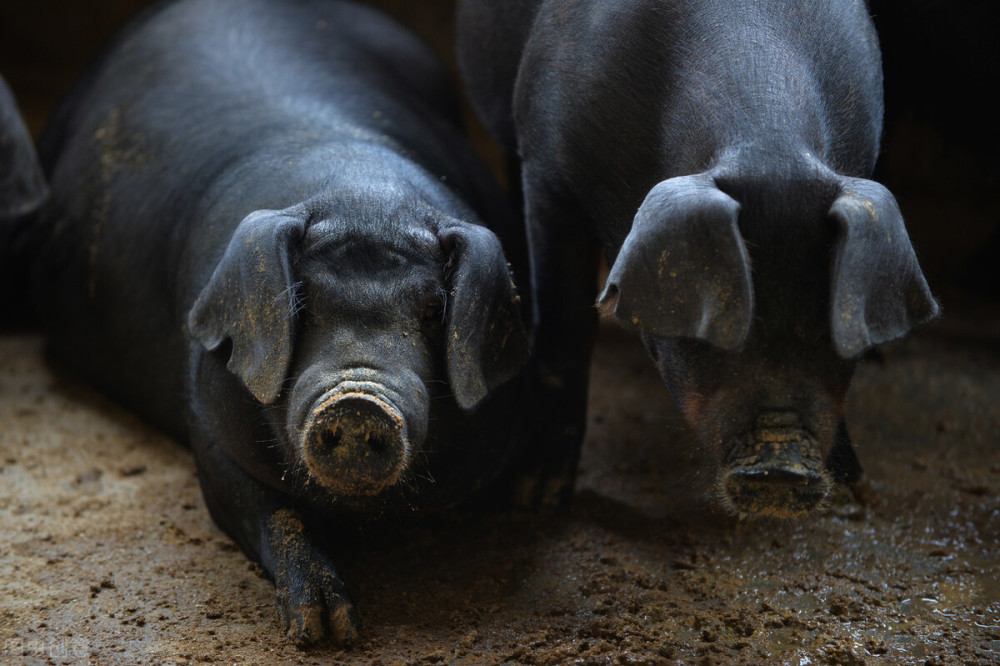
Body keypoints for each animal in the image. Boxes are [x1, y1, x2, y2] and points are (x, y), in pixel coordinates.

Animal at [23, 0, 528, 644]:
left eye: (432, 313)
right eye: (301, 304)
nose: (357, 399)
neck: (364, 195)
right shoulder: (209, 421)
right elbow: (274, 514)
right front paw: (324, 631)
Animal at [458, 0, 940, 512]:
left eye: (827, 329)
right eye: (719, 328)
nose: (782, 467)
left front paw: (854, 489)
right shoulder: (548, 172)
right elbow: (565, 329)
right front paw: (535, 496)